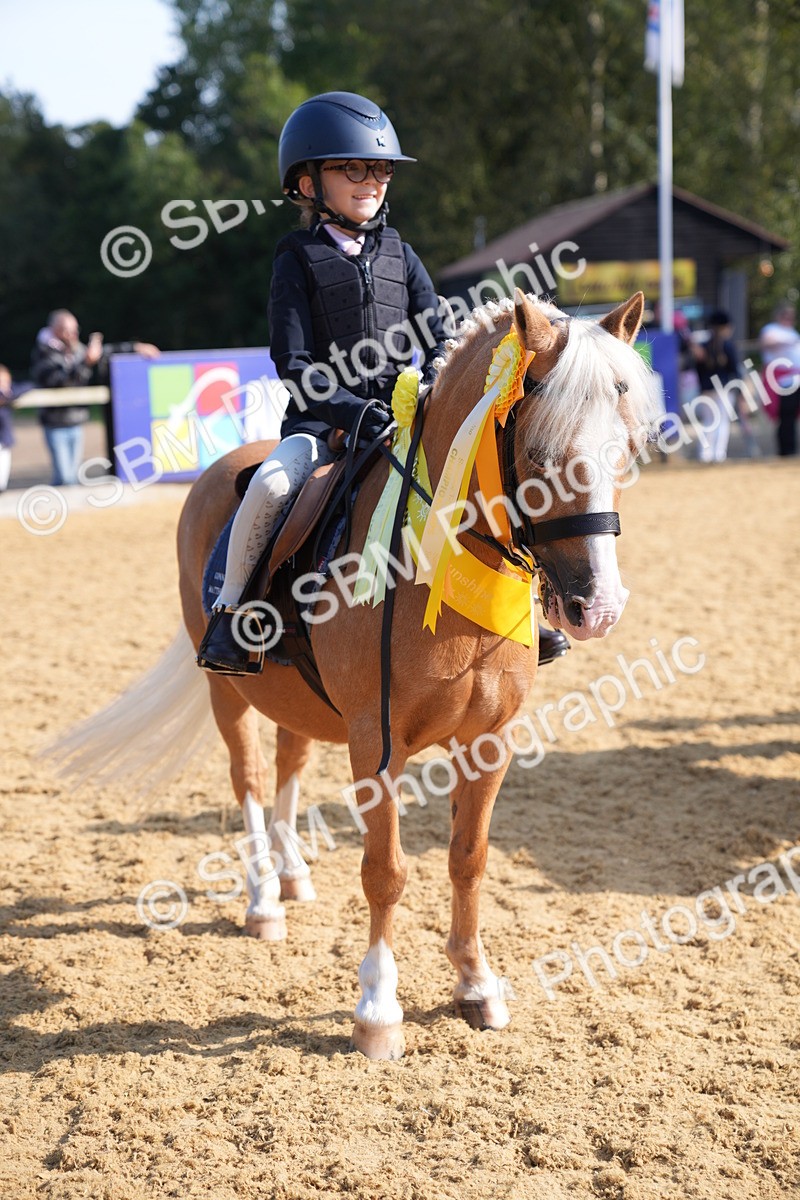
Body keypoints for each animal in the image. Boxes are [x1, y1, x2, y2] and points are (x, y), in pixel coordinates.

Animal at [51, 290, 659, 1060]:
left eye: (629, 449)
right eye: (538, 454)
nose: (597, 607)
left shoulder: (489, 741)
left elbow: (468, 857)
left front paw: (476, 983)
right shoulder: (378, 743)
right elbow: (386, 872)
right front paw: (376, 1009)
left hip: (296, 697)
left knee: (289, 762)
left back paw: (292, 877)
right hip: (228, 689)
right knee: (251, 779)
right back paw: (263, 900)